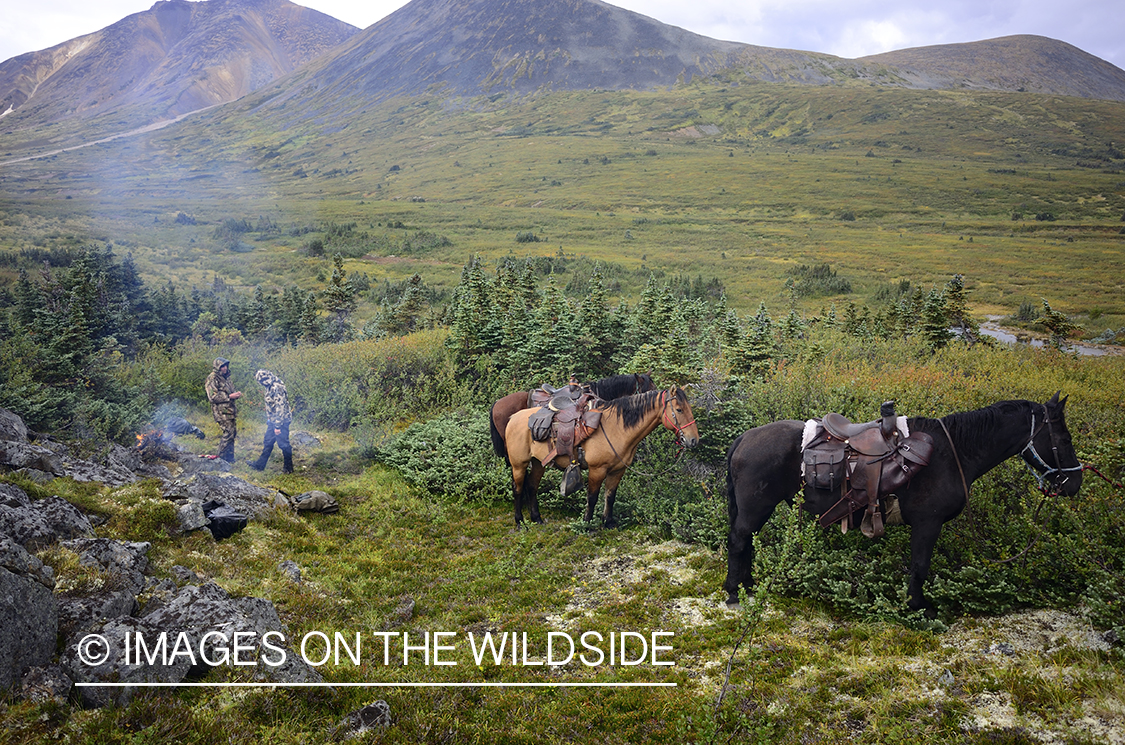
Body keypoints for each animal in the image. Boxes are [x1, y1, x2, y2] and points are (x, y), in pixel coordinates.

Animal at [506, 387, 697, 528]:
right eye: (679, 410)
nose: (693, 440)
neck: (617, 428)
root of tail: (513, 417)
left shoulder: (617, 471)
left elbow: (610, 496)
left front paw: (608, 522)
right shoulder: (597, 470)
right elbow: (592, 497)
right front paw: (587, 524)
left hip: (539, 463)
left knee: (532, 486)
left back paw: (536, 518)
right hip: (519, 464)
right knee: (518, 488)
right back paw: (520, 522)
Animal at [724, 393, 1084, 616]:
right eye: (1064, 439)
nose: (1075, 483)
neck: (953, 453)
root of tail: (743, 438)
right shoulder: (928, 523)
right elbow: (920, 566)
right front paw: (918, 606)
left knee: (747, 542)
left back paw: (748, 586)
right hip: (756, 507)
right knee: (739, 541)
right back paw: (733, 592)